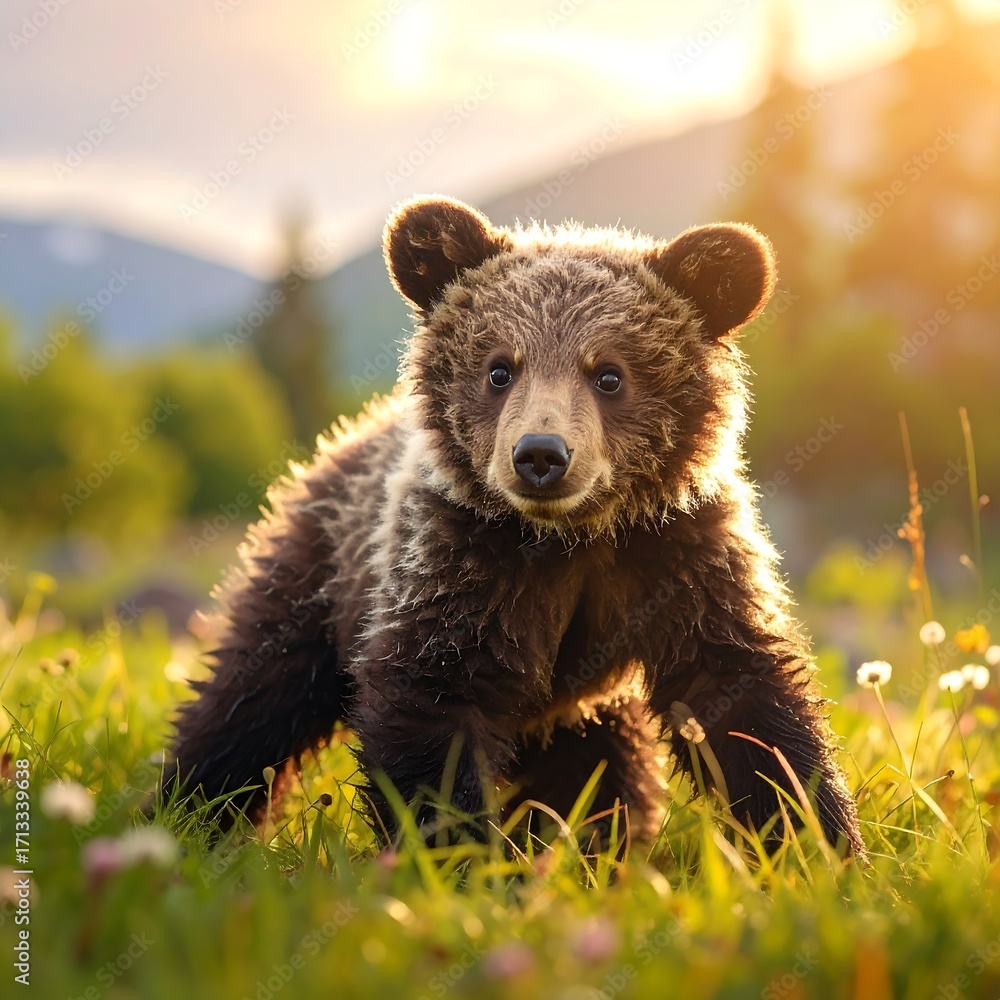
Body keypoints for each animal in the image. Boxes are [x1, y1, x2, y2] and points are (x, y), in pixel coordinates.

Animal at [162, 194, 865, 858]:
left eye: (609, 373)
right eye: (499, 368)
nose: (541, 455)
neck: (572, 538)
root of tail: (342, 439)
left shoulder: (676, 557)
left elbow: (745, 704)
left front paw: (818, 842)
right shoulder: (461, 565)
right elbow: (435, 706)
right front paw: (457, 859)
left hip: (581, 705)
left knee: (605, 768)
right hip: (321, 572)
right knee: (254, 696)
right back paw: (187, 812)